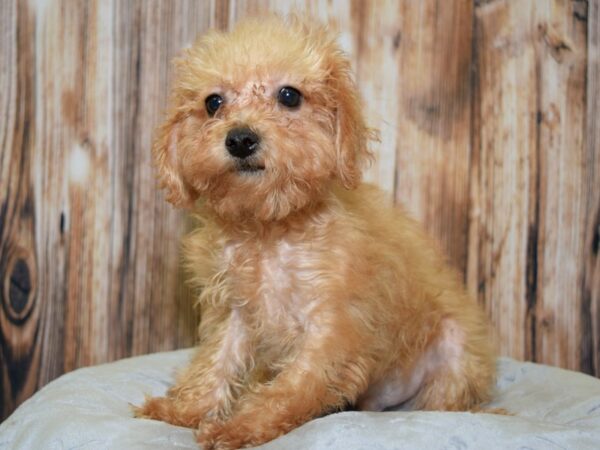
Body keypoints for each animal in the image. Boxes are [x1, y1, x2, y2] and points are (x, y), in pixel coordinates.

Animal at [137, 15, 496, 450]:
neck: (271, 228)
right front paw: (186, 410)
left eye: (289, 96)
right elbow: (216, 361)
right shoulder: (236, 312)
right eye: (213, 103)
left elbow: (291, 387)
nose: (240, 138)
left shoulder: (332, 327)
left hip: (455, 351)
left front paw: (242, 426)